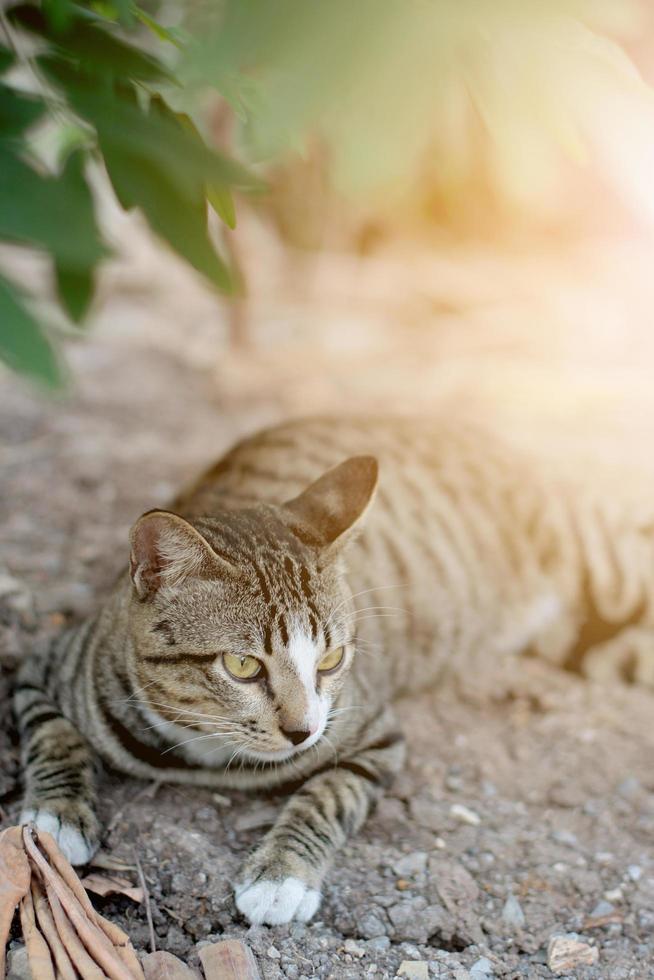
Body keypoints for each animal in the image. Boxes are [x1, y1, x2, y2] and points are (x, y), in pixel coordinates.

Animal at [14, 418, 654, 924]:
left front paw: (281, 875)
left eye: (331, 659)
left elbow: (328, 793)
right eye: (242, 665)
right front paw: (57, 814)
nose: (302, 732)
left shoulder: (375, 733)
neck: (205, 754)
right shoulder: (37, 664)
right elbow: (52, 731)